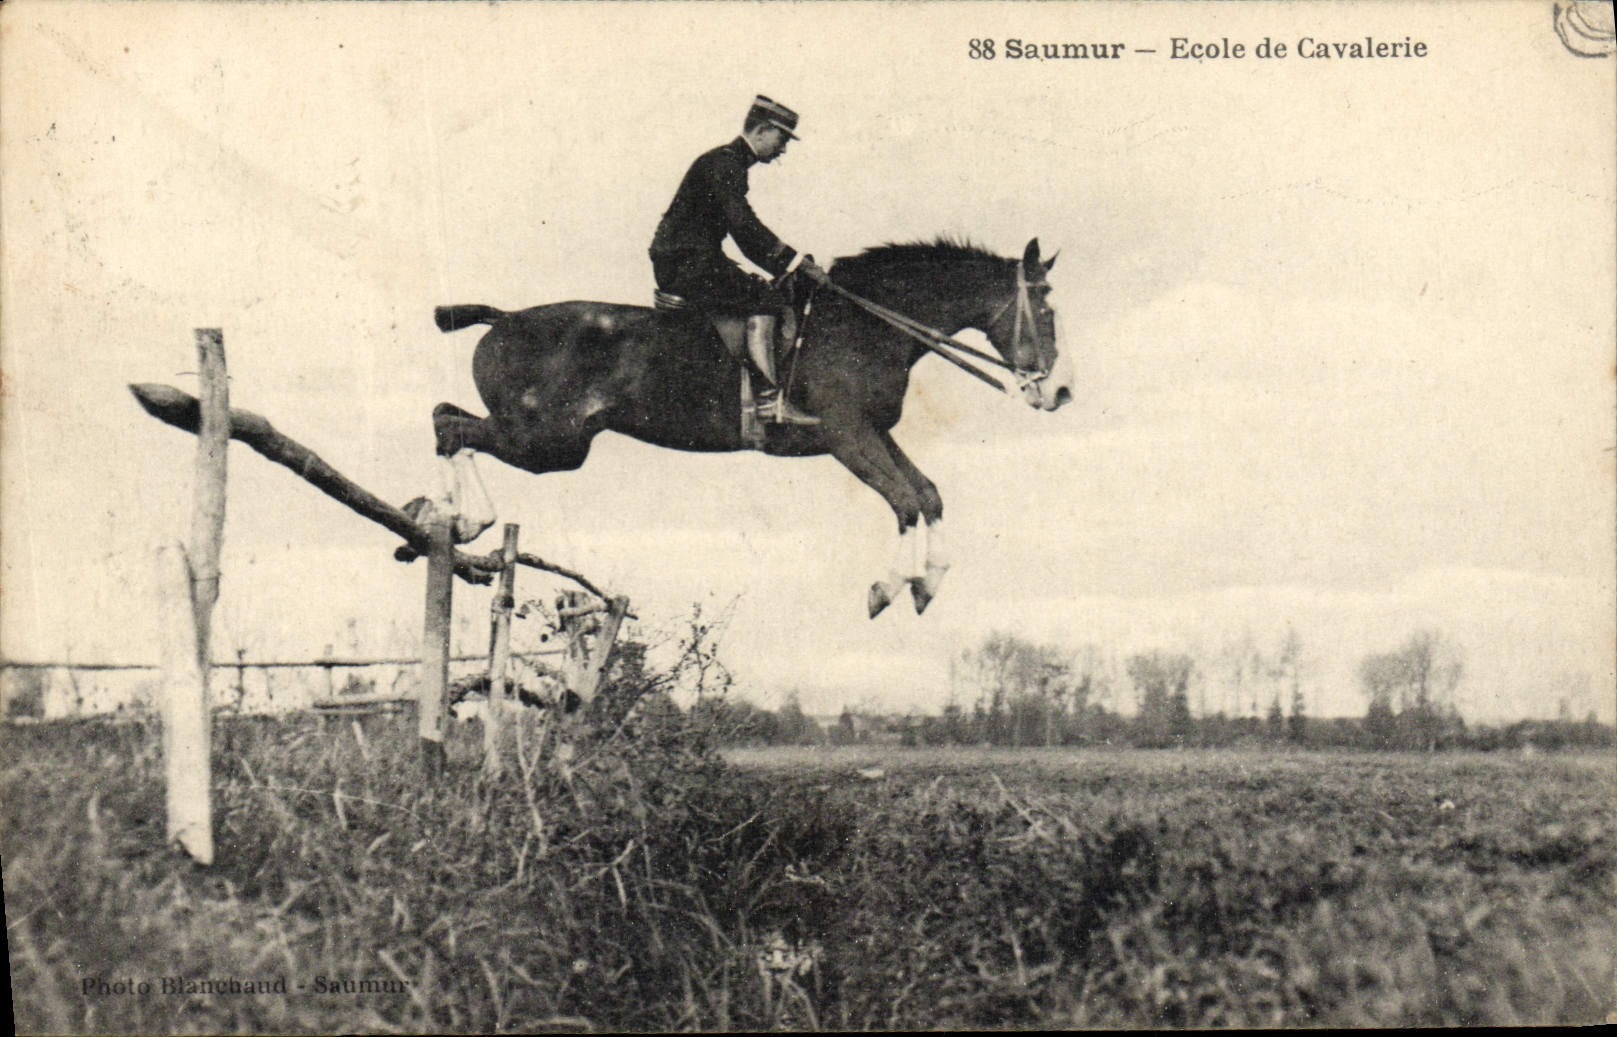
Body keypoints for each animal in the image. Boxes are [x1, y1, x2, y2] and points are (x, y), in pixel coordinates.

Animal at [427, 236, 1074, 617]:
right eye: (1045, 310)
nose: (1059, 391)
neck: (866, 324)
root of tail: (504, 319)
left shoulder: (873, 433)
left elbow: (928, 493)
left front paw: (928, 582)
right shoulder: (845, 436)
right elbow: (904, 501)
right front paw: (888, 588)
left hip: (549, 442)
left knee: (446, 419)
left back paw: (454, 516)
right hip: (548, 442)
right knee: (450, 427)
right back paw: (466, 517)